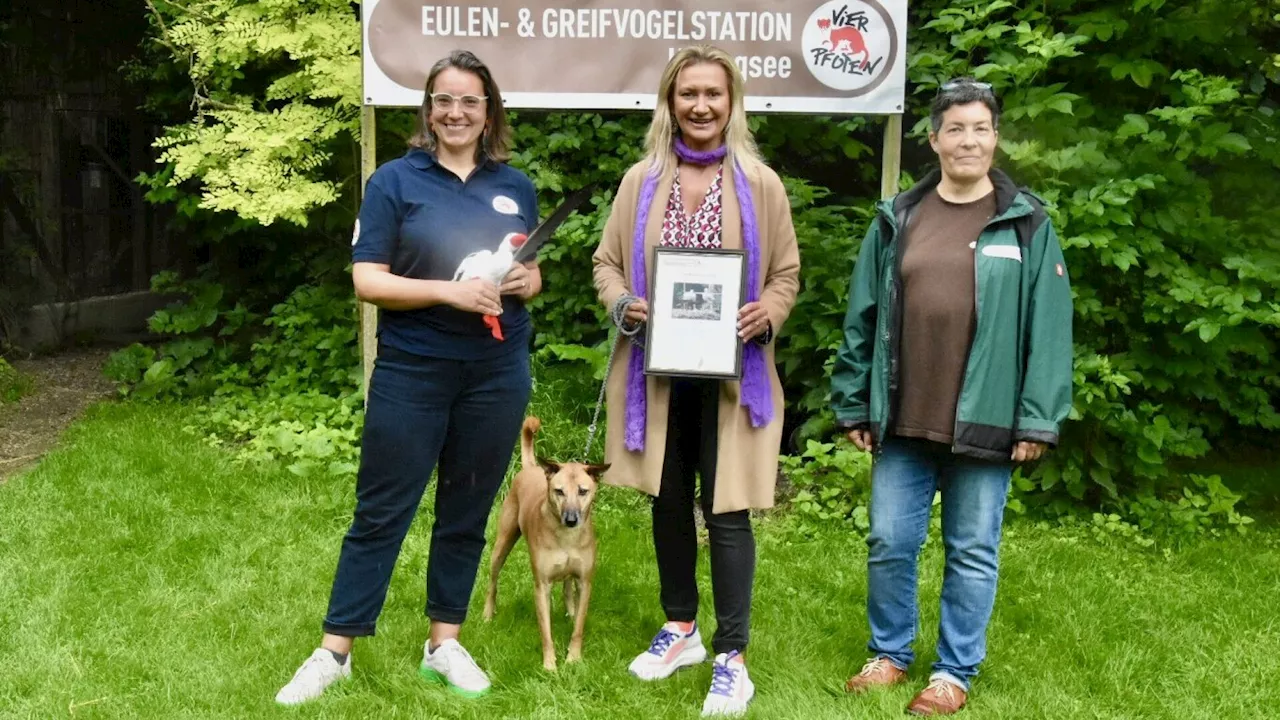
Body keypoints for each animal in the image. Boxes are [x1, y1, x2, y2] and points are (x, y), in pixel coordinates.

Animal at [481, 415, 606, 666]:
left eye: (583, 491)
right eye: (559, 491)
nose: (571, 519)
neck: (566, 538)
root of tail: (532, 468)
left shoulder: (585, 582)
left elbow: (579, 626)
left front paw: (573, 658)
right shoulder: (541, 586)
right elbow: (545, 630)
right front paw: (550, 665)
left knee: (567, 588)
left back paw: (570, 611)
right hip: (502, 544)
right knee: (493, 582)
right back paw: (488, 613)